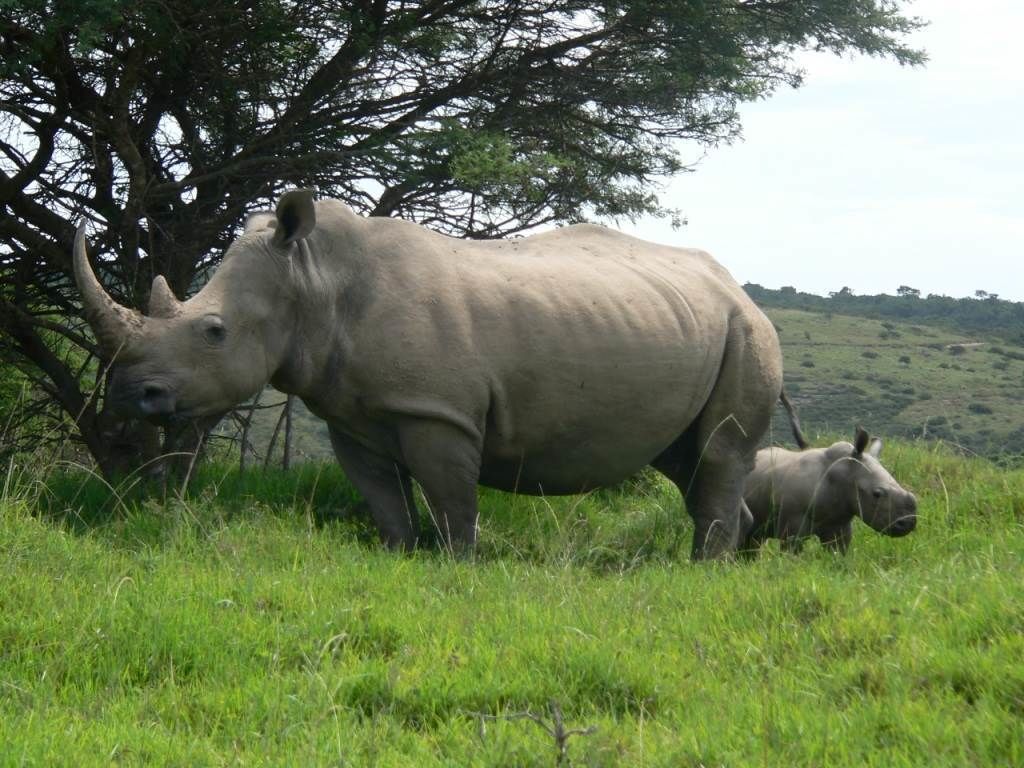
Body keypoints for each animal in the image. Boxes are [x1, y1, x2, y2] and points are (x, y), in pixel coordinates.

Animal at [73, 190, 784, 559]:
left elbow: (451, 501)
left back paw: (702, 570)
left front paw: (458, 567)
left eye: (213, 332)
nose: (131, 396)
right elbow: (382, 497)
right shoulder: (351, 414)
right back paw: (729, 561)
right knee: (685, 458)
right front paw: (398, 557)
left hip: (748, 331)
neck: (314, 279)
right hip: (689, 323)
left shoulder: (437, 410)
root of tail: (735, 287)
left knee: (718, 450)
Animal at [741, 424, 918, 554]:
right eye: (877, 494)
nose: (908, 524)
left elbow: (837, 552)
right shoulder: (792, 525)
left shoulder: (839, 523)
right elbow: (792, 551)